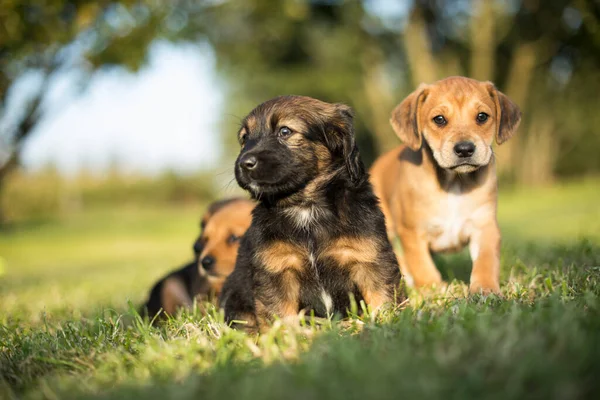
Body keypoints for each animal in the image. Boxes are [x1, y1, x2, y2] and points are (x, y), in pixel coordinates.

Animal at [220, 94, 404, 332]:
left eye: (285, 131)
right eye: (244, 139)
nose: (244, 163)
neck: (306, 207)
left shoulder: (370, 259)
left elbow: (382, 299)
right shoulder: (277, 270)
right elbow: (280, 316)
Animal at [370, 76, 520, 294]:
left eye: (482, 117)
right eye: (439, 119)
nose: (465, 149)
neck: (454, 183)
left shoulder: (485, 227)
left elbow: (486, 260)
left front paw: (485, 289)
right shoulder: (412, 231)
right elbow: (421, 264)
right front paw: (432, 289)